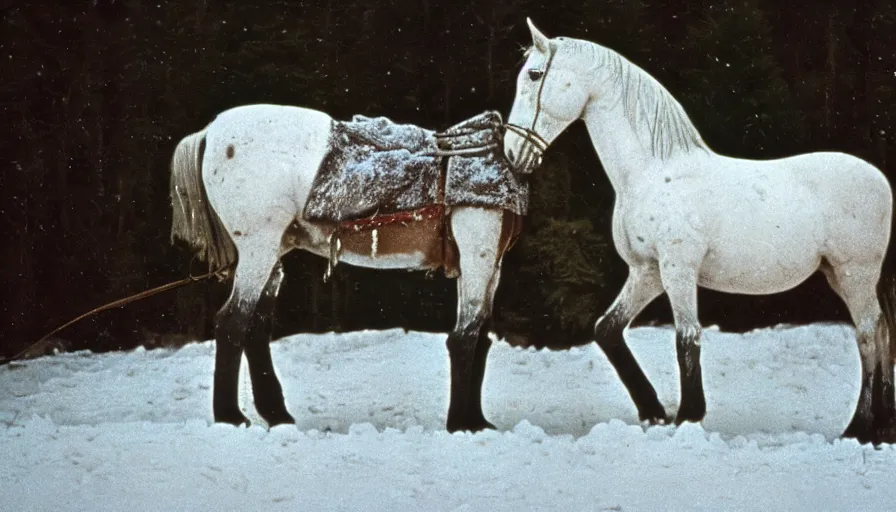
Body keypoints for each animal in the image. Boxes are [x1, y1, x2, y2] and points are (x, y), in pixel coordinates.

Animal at [170, 105, 520, 432]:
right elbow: (464, 337)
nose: (516, 151)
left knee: (256, 327)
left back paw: (275, 413)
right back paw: (230, 416)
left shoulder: (494, 266)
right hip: (257, 249)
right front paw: (461, 423)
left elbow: (482, 338)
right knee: (232, 323)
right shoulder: (477, 256)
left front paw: (477, 421)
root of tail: (211, 130)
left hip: (272, 254)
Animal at [504, 19, 896, 444]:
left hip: (855, 273)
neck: (652, 173)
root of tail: (880, 181)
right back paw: (882, 425)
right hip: (840, 275)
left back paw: (859, 428)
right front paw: (655, 411)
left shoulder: (678, 269)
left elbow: (687, 338)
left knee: (868, 334)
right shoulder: (647, 272)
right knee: (882, 334)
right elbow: (607, 330)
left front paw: (688, 417)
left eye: (535, 75)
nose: (510, 153)